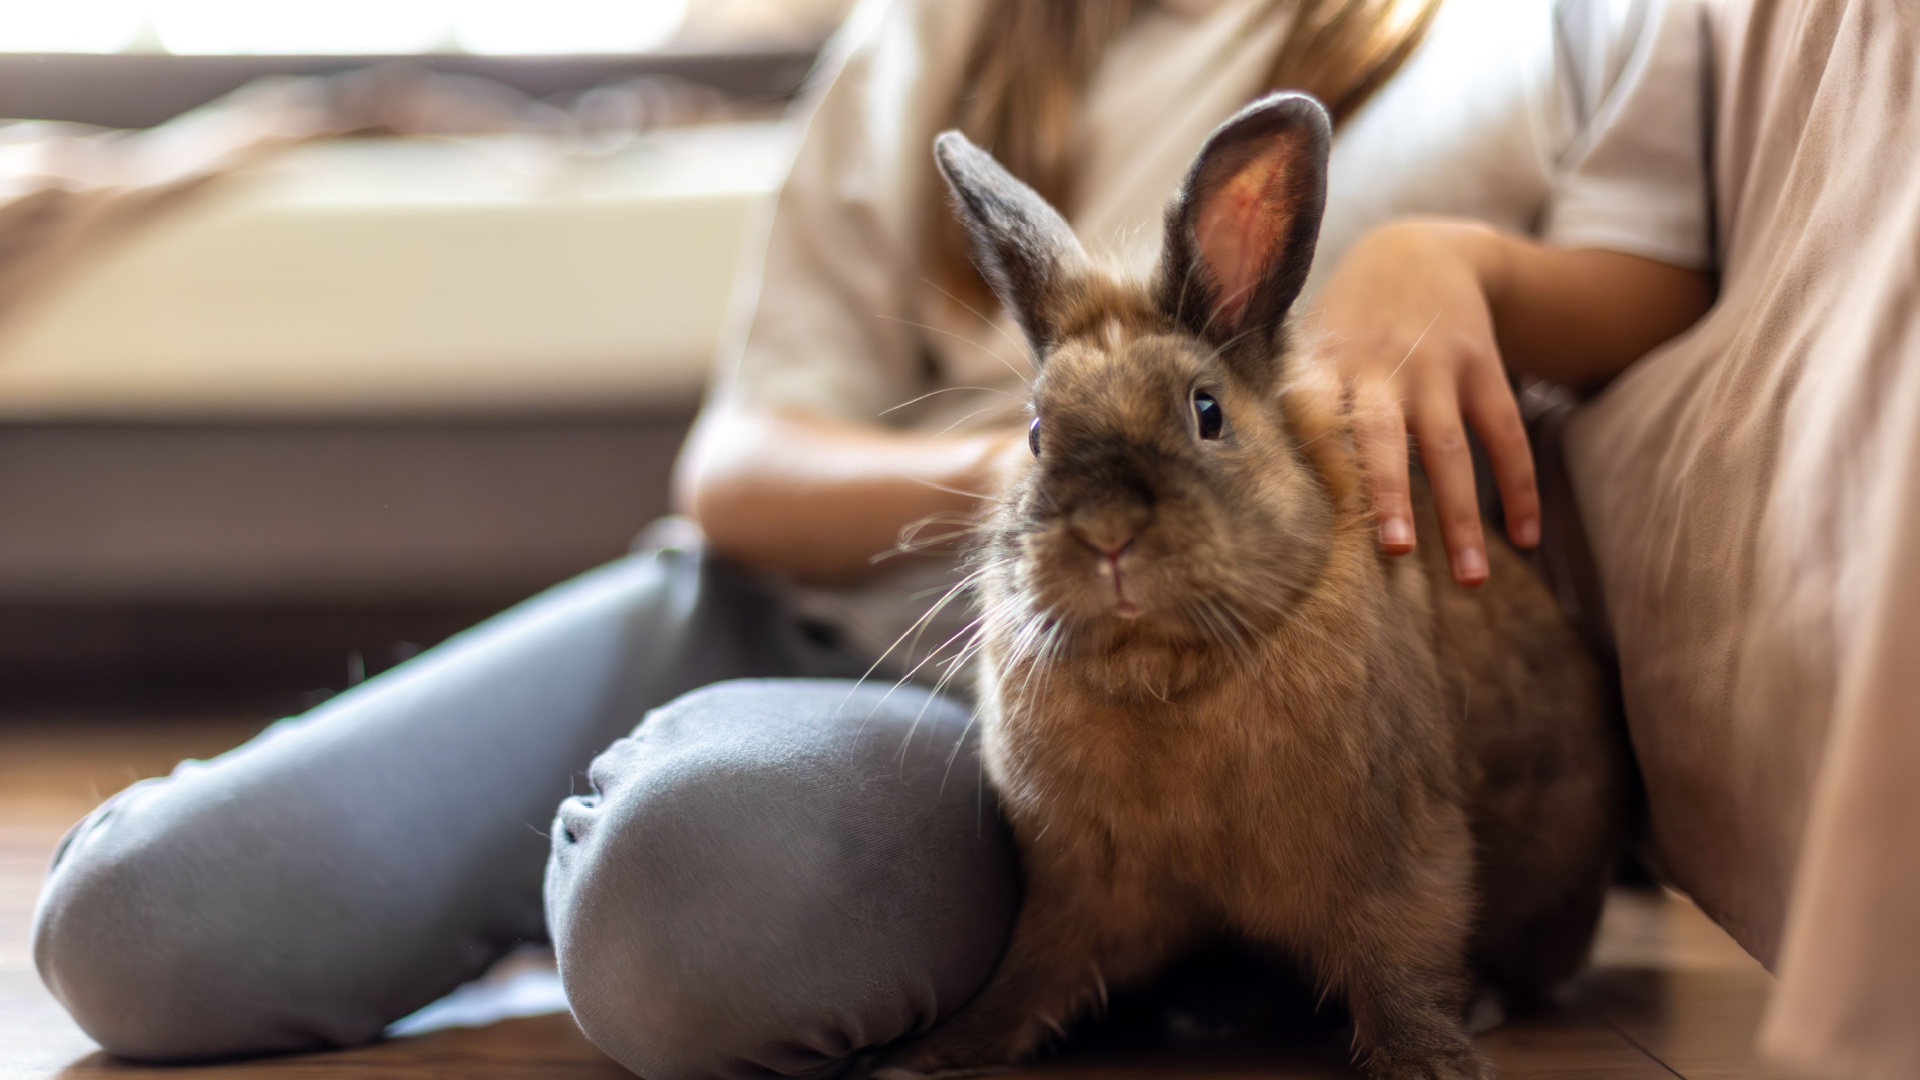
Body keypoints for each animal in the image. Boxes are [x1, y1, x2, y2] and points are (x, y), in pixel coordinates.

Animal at [875, 93, 1625, 1080]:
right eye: (1036, 435)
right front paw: (937, 1055)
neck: (1167, 676)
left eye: (1207, 412)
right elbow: (1030, 974)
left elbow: (1403, 968)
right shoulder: (1077, 884)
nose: (1107, 532)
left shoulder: (1402, 858)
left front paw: (1432, 1063)